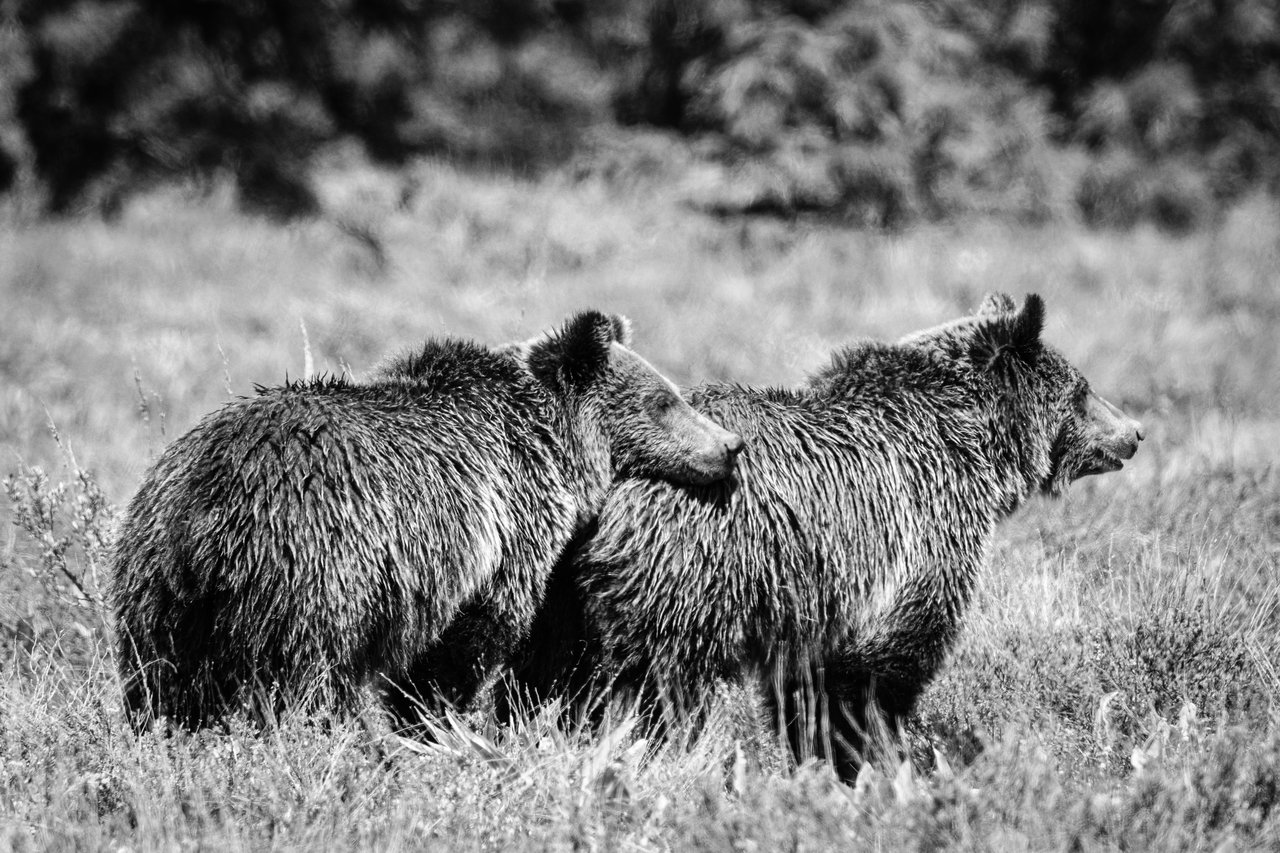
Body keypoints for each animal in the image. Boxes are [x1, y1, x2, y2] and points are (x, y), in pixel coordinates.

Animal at [111, 310, 745, 731]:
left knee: (161, 678)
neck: (550, 444)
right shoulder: (499, 528)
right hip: (314, 563)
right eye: (662, 400)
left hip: (157, 582)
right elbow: (464, 646)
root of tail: (207, 502)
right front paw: (436, 722)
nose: (730, 446)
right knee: (302, 672)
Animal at [502, 293, 1143, 782]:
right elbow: (877, 675)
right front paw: (871, 761)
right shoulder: (909, 542)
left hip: (556, 586)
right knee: (657, 683)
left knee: (547, 673)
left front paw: (819, 762)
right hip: (687, 569)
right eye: (1083, 389)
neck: (972, 450)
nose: (1135, 431)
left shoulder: (814, 600)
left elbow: (806, 690)